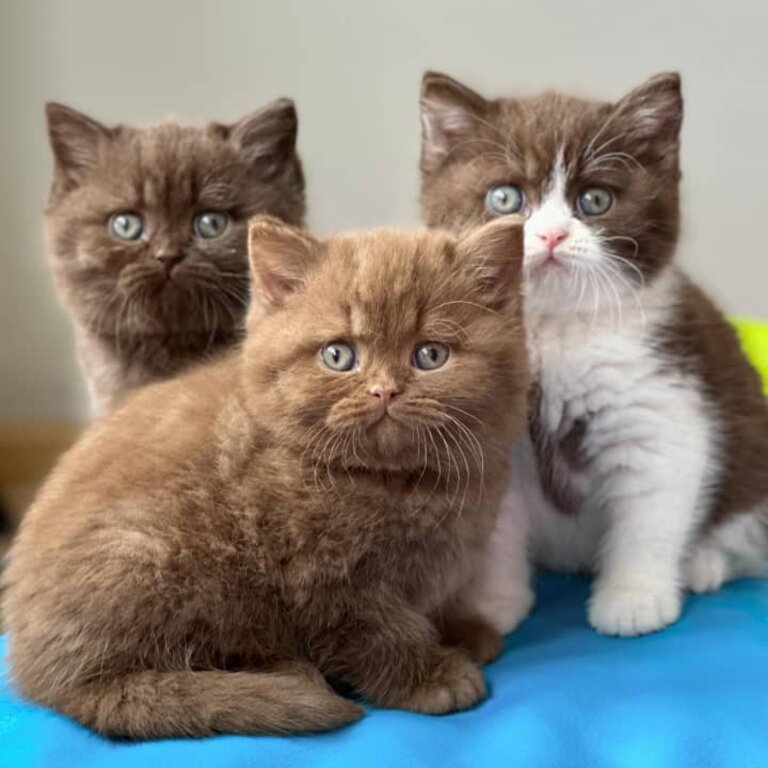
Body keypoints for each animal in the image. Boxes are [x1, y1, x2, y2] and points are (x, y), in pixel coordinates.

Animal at [1, 214, 528, 736]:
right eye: (338, 355)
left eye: (430, 355)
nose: (385, 391)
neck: (397, 484)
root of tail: (33, 671)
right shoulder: (325, 578)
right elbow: (377, 632)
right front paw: (431, 675)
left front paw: (462, 629)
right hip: (157, 556)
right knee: (114, 685)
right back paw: (285, 675)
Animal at [420, 70, 768, 636]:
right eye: (504, 198)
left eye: (596, 200)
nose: (550, 234)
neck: (553, 332)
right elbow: (495, 531)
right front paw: (493, 603)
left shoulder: (663, 404)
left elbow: (651, 512)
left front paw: (634, 599)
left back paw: (703, 562)